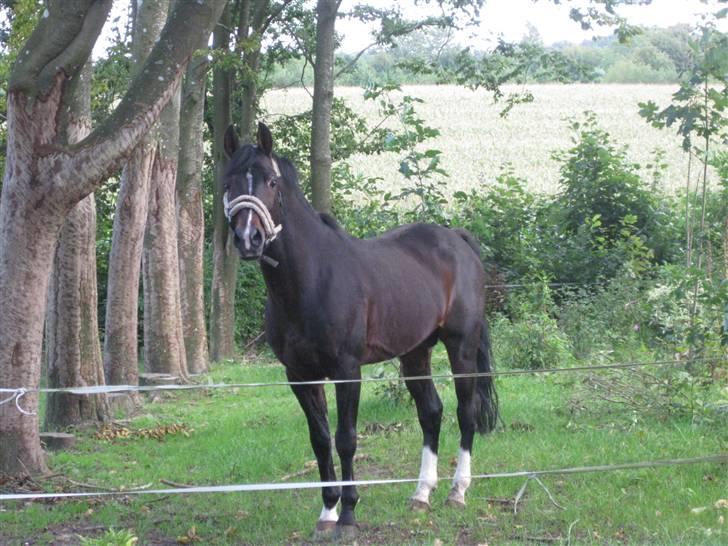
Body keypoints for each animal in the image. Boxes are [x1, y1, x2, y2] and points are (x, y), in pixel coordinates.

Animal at [223, 122, 498, 538]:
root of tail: (458, 240)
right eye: (228, 181)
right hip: (415, 352)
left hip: (461, 346)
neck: (312, 279)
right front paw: (327, 514)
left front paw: (349, 515)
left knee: (466, 411)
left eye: (271, 181)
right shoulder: (299, 376)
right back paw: (421, 495)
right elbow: (320, 440)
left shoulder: (347, 371)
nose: (248, 238)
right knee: (431, 413)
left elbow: (346, 439)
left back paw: (457, 492)